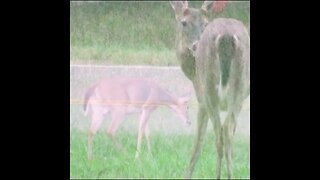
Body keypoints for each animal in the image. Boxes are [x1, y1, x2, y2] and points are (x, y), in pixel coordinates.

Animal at [170, 1, 250, 179]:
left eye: (205, 23)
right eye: (184, 22)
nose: (195, 46)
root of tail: (226, 36)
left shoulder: (201, 101)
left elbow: (198, 144)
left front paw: (187, 175)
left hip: (210, 89)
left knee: (221, 133)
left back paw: (220, 176)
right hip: (238, 89)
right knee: (227, 131)